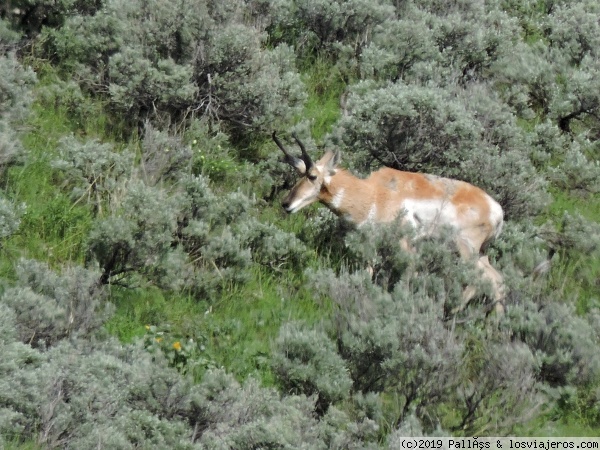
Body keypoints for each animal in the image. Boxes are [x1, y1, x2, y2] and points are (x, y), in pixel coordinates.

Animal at [274, 131, 504, 312]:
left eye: (312, 176)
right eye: (299, 172)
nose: (285, 203)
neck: (373, 193)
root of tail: (496, 209)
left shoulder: (404, 244)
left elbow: (408, 272)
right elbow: (368, 270)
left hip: (465, 250)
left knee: (478, 279)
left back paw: (451, 311)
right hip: (480, 253)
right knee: (497, 281)